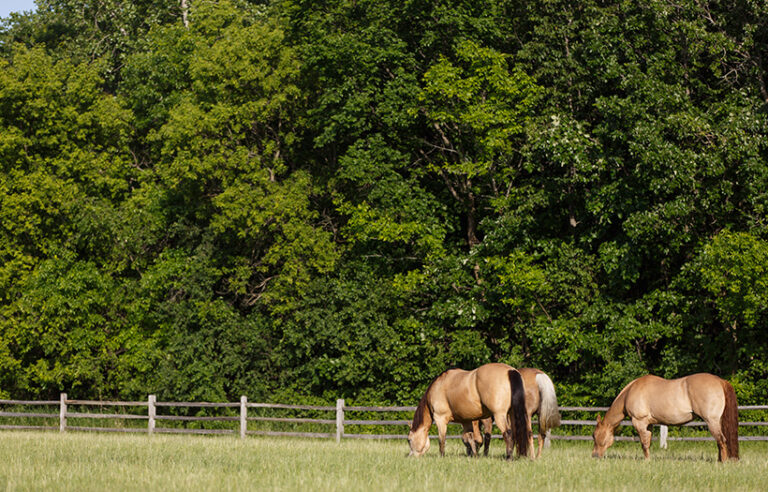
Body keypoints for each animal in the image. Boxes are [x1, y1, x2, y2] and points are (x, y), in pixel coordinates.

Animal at [404, 362, 532, 462]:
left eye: (409, 440)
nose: (409, 457)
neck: (438, 386)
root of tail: (510, 371)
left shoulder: (440, 419)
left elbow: (442, 439)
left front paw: (442, 456)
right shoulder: (466, 421)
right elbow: (471, 439)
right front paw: (475, 456)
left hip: (499, 415)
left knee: (508, 433)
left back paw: (509, 457)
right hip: (512, 414)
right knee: (516, 433)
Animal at [592, 372, 740, 462]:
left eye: (594, 435)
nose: (594, 456)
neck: (629, 392)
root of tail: (720, 381)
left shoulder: (639, 422)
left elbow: (644, 444)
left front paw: (647, 461)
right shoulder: (649, 425)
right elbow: (648, 443)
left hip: (712, 421)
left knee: (721, 440)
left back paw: (722, 463)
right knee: (720, 442)